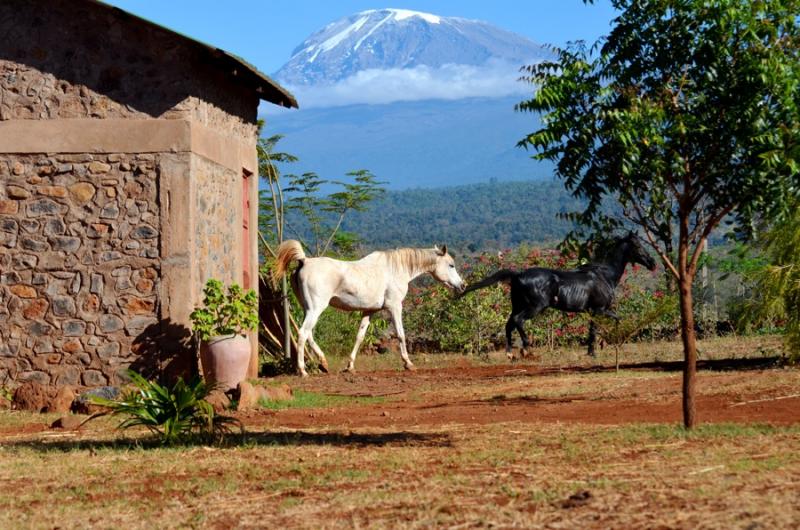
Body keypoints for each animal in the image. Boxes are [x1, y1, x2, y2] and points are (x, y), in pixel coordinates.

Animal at [273, 240, 466, 377]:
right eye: (451, 265)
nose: (462, 285)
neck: (396, 269)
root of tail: (304, 261)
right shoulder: (395, 306)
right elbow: (401, 335)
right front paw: (408, 363)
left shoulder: (369, 311)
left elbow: (360, 337)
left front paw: (350, 366)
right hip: (315, 309)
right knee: (303, 334)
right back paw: (303, 371)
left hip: (308, 309)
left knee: (308, 334)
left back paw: (323, 362)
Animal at [459, 232, 657, 358]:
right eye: (637, 245)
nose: (653, 263)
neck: (605, 275)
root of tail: (518, 275)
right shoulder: (599, 309)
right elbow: (610, 323)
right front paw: (599, 349)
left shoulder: (593, 311)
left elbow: (598, 328)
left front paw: (594, 349)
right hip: (534, 307)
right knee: (517, 320)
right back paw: (526, 348)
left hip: (518, 305)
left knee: (509, 324)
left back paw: (510, 353)